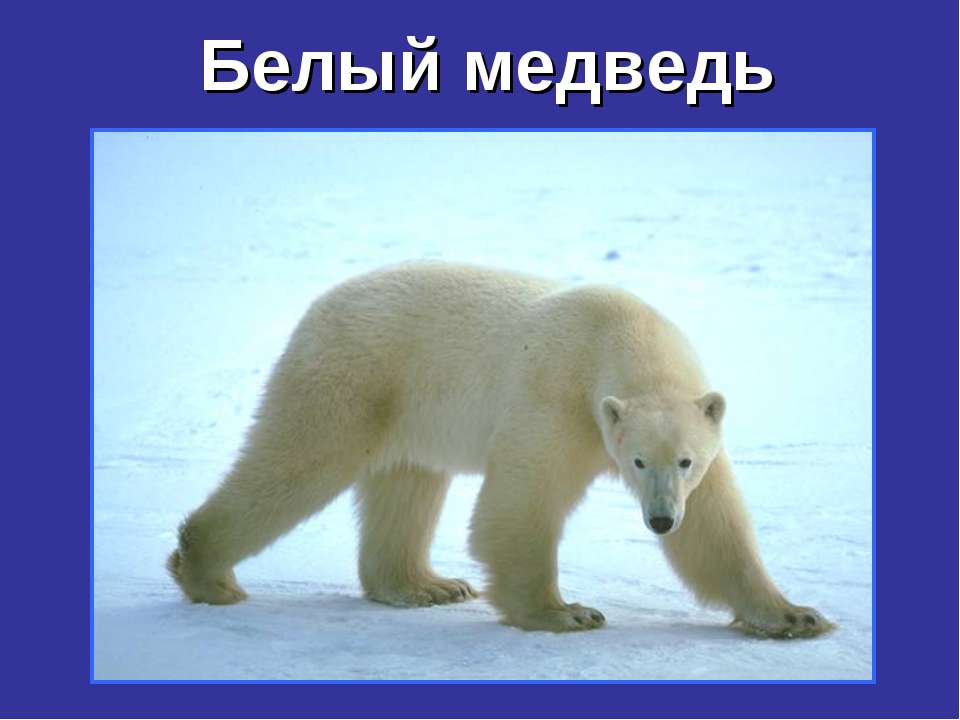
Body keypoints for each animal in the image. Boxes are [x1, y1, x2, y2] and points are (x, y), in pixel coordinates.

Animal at [168, 261, 833, 638]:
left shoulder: (695, 425)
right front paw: (567, 613)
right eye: (638, 461)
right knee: (298, 460)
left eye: (686, 461)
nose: (661, 520)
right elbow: (521, 505)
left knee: (407, 487)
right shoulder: (559, 398)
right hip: (354, 377)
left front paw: (796, 617)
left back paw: (427, 585)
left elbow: (716, 530)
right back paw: (207, 574)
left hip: (408, 406)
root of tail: (317, 306)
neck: (618, 335)